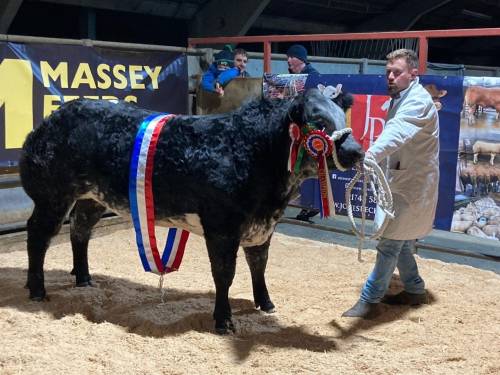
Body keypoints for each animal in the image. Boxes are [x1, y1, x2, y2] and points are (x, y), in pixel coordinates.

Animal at [20, 89, 364, 334]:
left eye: (342, 116)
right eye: (319, 123)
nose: (356, 151)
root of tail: (52, 119)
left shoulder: (262, 226)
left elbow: (259, 265)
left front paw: (265, 303)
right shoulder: (222, 226)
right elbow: (225, 274)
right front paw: (223, 321)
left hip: (93, 198)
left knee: (80, 230)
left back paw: (84, 278)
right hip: (52, 195)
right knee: (38, 235)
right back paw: (37, 289)